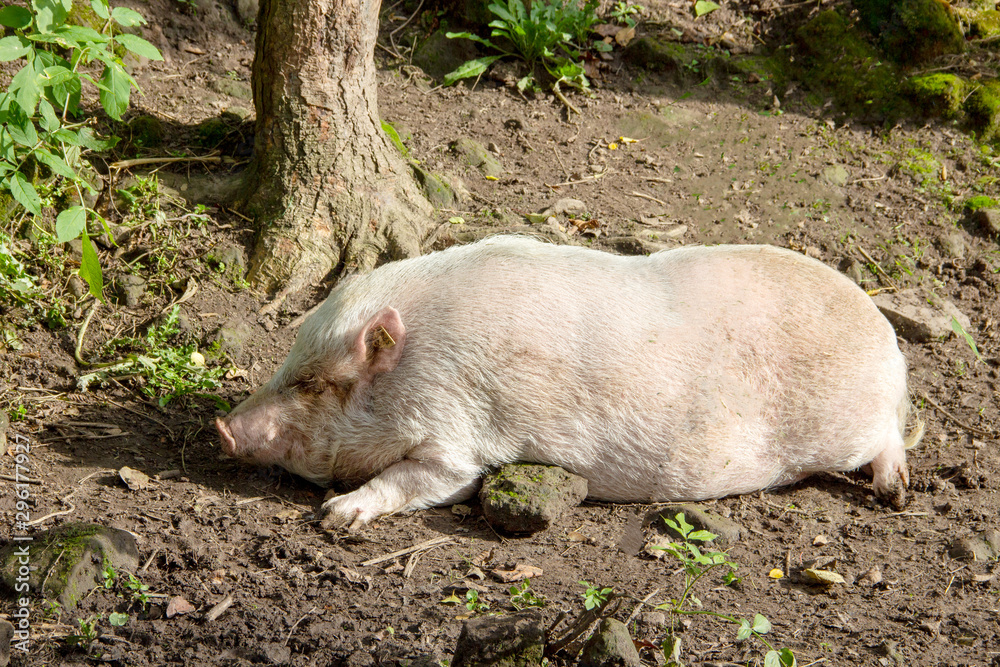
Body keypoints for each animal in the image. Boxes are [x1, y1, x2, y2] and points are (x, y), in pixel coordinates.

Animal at [219, 236, 920, 532]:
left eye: (318, 383)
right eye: (288, 362)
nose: (221, 427)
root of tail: (887, 338)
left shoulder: (457, 434)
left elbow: (433, 481)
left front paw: (334, 515)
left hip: (850, 427)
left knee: (889, 440)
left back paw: (895, 495)